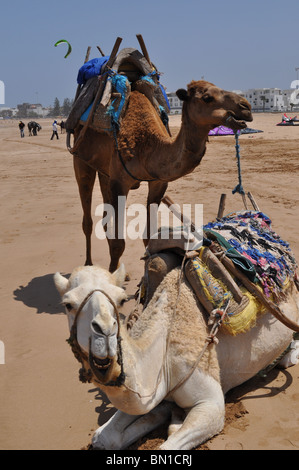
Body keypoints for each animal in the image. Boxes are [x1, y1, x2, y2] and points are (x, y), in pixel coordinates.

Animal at [54, 229, 299, 450]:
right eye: (68, 304)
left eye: (122, 299)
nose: (104, 331)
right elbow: (104, 437)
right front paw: (166, 415)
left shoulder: (211, 402)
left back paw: (288, 357)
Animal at [72, 80, 253, 272]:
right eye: (207, 97)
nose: (246, 107)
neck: (146, 146)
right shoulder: (119, 182)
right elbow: (118, 244)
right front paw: (112, 274)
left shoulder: (158, 183)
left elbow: (148, 237)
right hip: (81, 161)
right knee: (88, 219)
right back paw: (88, 264)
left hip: (104, 171)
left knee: (106, 218)